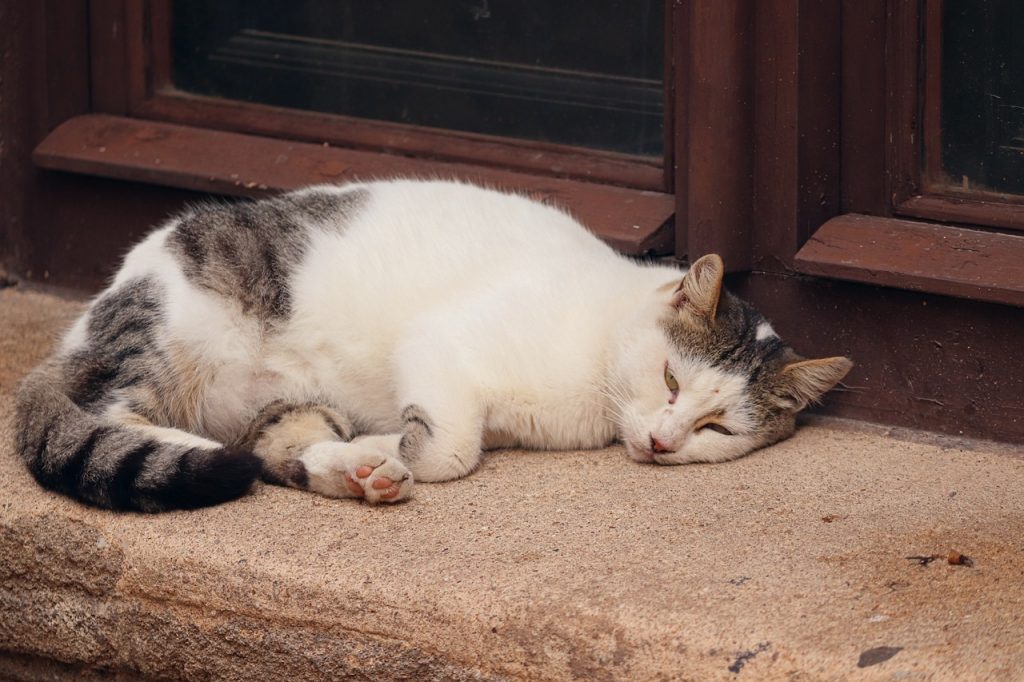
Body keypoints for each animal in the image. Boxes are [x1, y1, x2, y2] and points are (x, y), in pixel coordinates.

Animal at [16, 178, 851, 507]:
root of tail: (89, 317)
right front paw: (409, 447)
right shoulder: (439, 342)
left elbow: (452, 440)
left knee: (274, 449)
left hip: (285, 402)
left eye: (717, 429)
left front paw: (383, 451)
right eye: (672, 380)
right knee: (116, 415)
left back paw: (354, 468)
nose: (666, 442)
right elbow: (452, 447)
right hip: (164, 332)